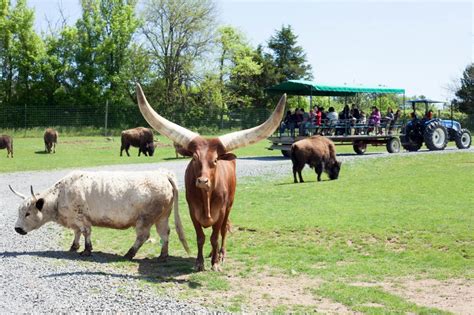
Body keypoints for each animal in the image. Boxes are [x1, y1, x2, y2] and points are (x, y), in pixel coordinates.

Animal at [9, 172, 189, 260]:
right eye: (19, 212)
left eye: (27, 213)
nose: (17, 229)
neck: (60, 195)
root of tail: (163, 176)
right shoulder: (75, 220)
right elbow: (77, 233)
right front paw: (74, 246)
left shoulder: (81, 218)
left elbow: (86, 232)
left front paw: (87, 250)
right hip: (162, 217)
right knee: (165, 233)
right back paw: (163, 255)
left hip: (145, 219)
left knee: (143, 236)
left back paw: (129, 254)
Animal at [135, 84, 286, 272]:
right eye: (194, 158)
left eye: (215, 160)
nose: (202, 181)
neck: (206, 197)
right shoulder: (193, 212)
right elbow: (200, 237)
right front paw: (199, 262)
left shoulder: (220, 213)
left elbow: (215, 237)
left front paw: (215, 263)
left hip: (229, 207)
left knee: (222, 233)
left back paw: (220, 255)